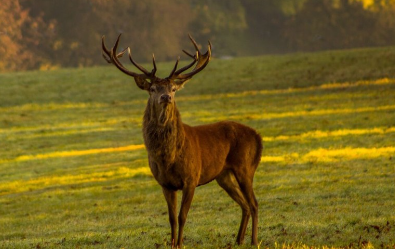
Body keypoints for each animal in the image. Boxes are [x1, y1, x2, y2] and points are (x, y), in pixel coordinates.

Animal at [102, 34, 262, 248]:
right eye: (152, 88)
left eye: (173, 88)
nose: (166, 97)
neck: (168, 158)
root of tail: (257, 136)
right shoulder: (165, 183)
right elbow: (171, 218)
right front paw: (172, 244)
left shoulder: (191, 178)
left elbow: (182, 216)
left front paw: (180, 243)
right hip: (223, 175)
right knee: (244, 204)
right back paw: (238, 239)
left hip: (245, 167)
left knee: (254, 203)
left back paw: (253, 240)